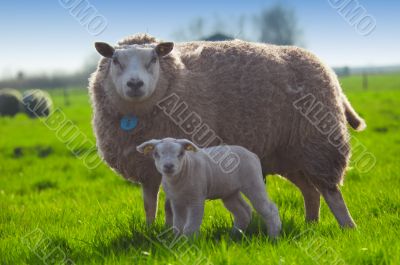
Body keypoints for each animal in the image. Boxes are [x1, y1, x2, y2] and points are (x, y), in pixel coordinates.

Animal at [137, 137, 282, 236]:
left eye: (180, 154)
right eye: (156, 154)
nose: (168, 166)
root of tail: (252, 154)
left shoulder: (196, 198)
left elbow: (191, 225)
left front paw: (188, 241)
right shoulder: (176, 202)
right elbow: (178, 224)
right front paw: (178, 240)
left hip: (253, 182)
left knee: (269, 209)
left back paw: (274, 235)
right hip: (229, 191)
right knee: (243, 212)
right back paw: (234, 235)